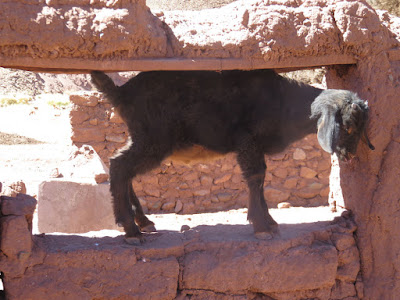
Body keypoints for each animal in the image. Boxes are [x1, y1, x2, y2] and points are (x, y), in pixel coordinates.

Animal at [90, 68, 372, 244]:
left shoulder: (254, 146)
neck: (282, 103)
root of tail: (121, 93)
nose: (349, 155)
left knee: (124, 169)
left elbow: (260, 179)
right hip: (154, 139)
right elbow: (256, 176)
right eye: (347, 126)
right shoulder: (246, 140)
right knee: (119, 166)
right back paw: (131, 230)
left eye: (361, 128)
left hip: (144, 138)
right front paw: (261, 226)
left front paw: (270, 222)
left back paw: (142, 221)